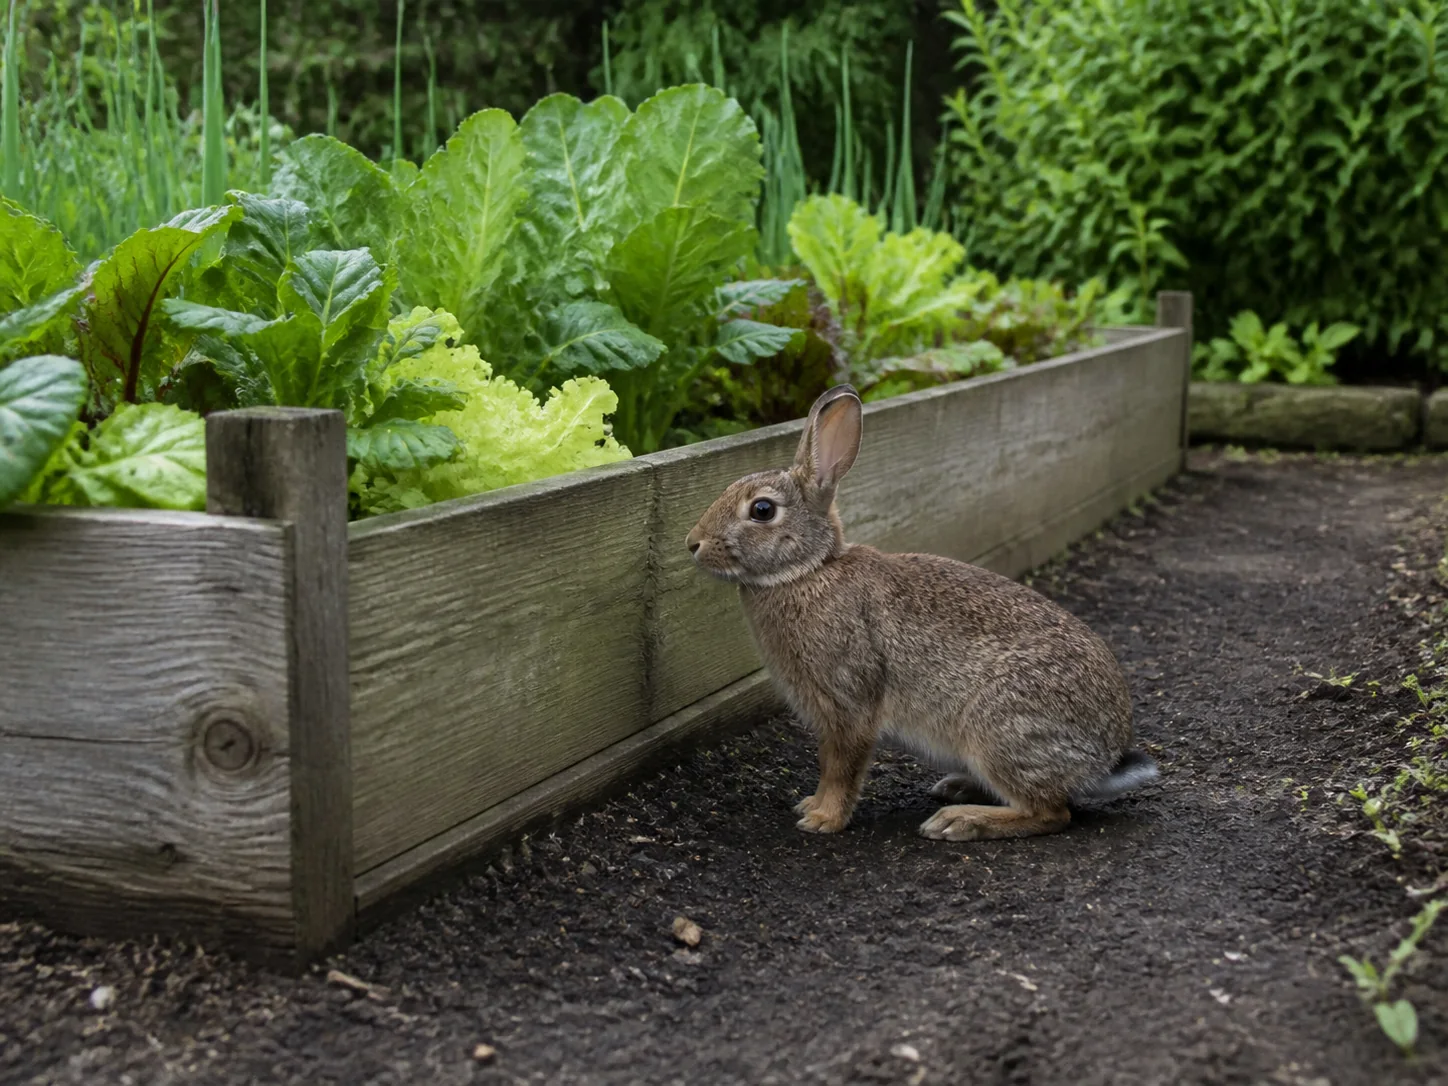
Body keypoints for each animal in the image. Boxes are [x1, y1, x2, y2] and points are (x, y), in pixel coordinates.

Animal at [684, 384, 1158, 841]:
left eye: (762, 510)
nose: (693, 543)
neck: (808, 570)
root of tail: (1104, 759)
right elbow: (828, 764)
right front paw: (810, 805)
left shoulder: (849, 705)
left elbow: (840, 767)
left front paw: (823, 819)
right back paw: (959, 789)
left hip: (1001, 729)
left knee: (1051, 813)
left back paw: (960, 821)